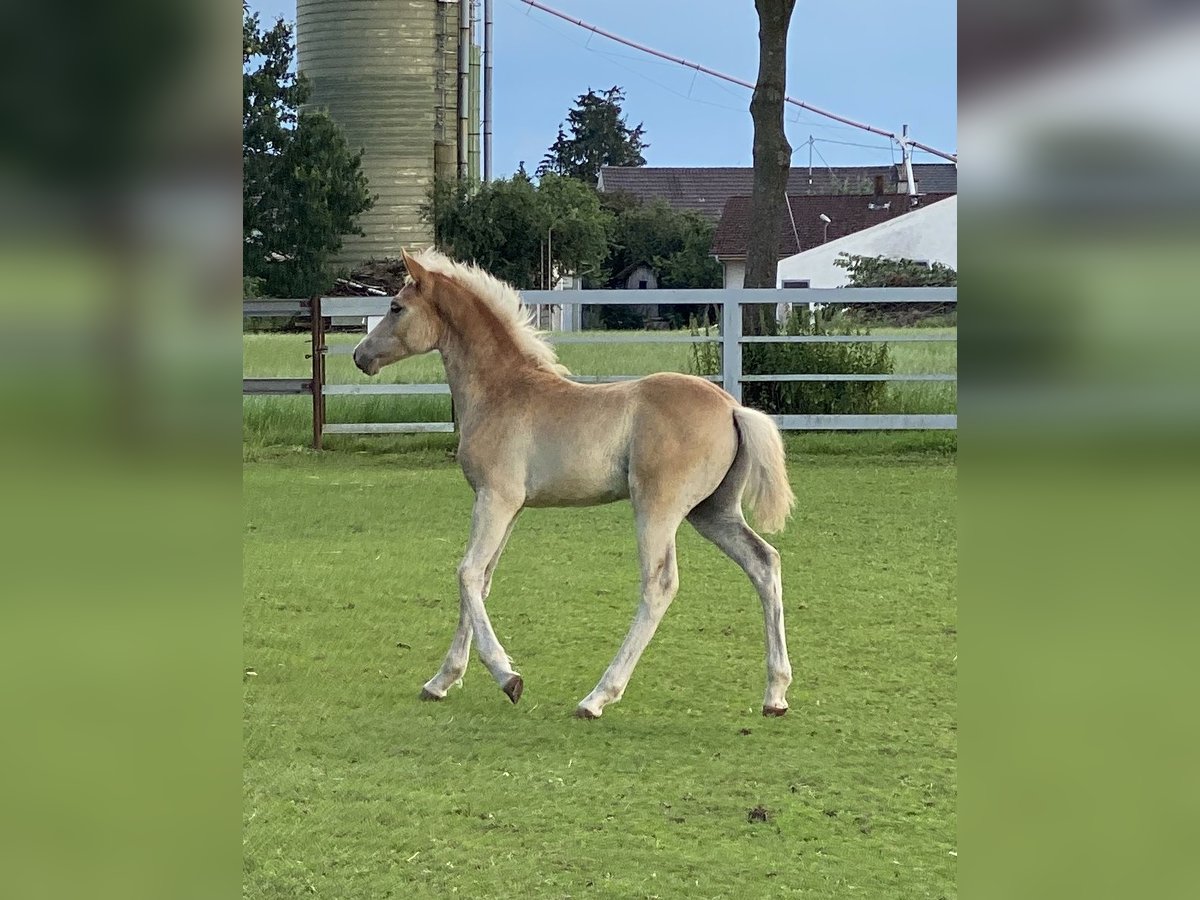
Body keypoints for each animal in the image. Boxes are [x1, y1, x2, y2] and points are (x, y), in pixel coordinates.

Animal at [350, 247, 796, 720]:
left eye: (396, 307)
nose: (360, 356)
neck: (501, 392)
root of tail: (733, 408)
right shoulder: (511, 509)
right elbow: (483, 580)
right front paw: (441, 681)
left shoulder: (495, 499)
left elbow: (467, 573)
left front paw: (507, 678)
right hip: (712, 512)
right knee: (764, 563)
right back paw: (775, 694)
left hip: (658, 508)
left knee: (659, 585)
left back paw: (597, 697)